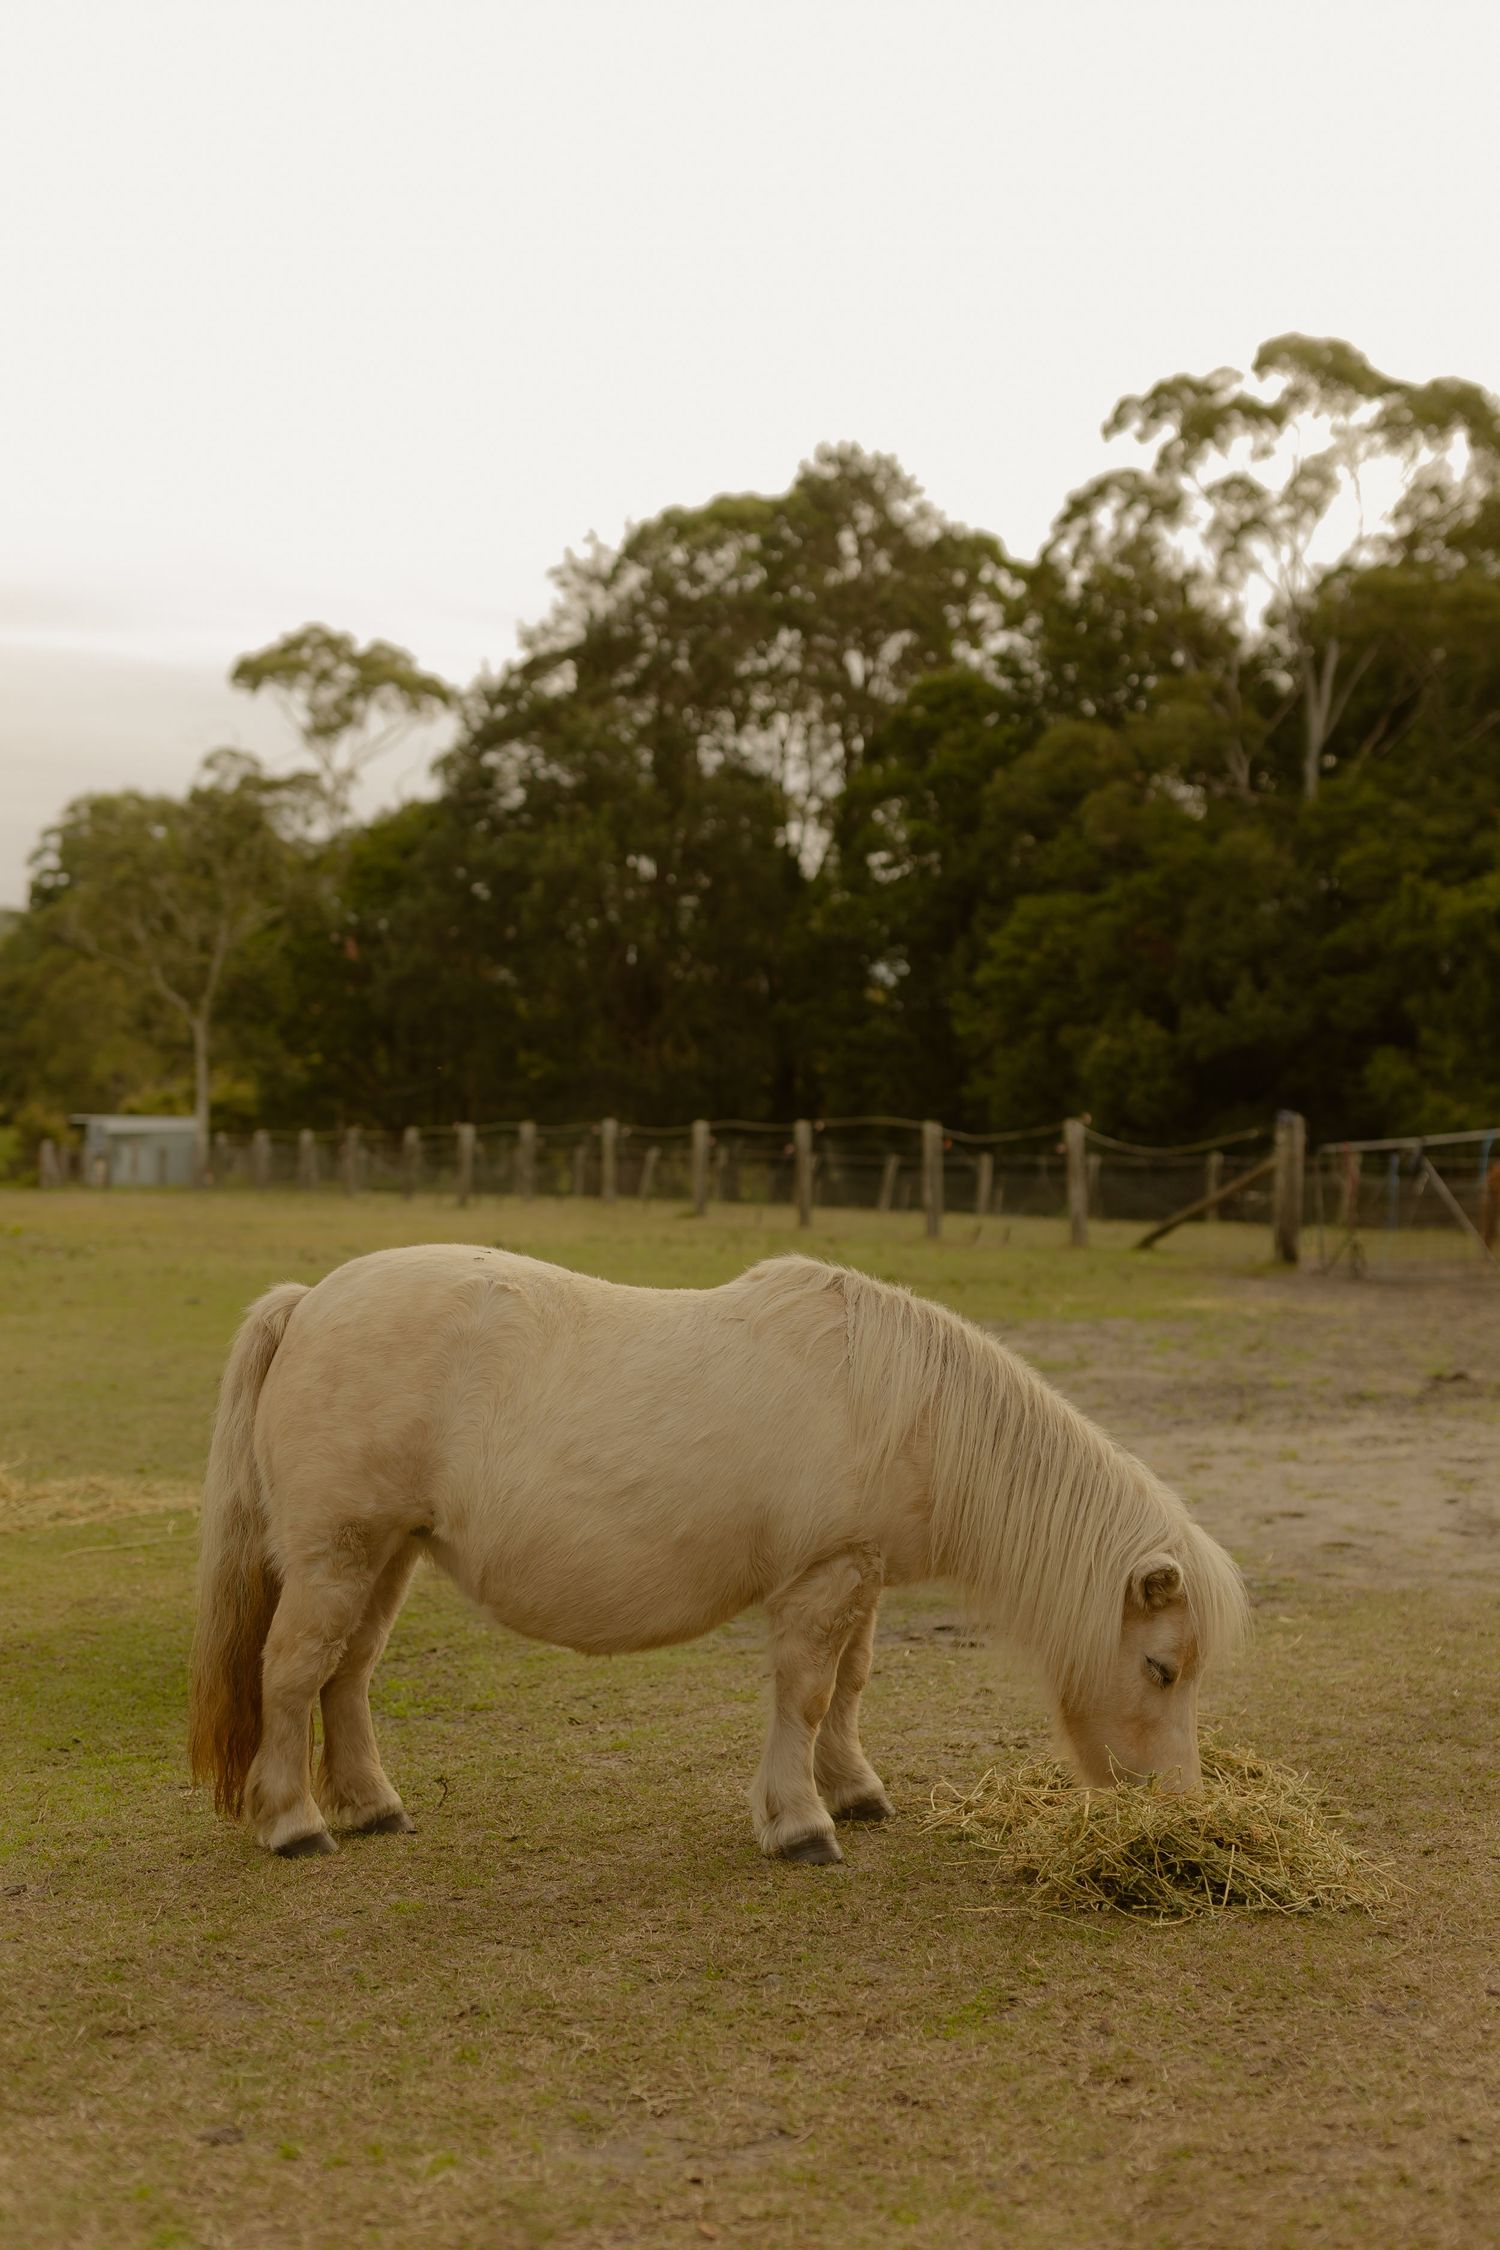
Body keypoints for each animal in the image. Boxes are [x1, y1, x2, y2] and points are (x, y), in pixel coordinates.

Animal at [188, 1247, 1247, 1864]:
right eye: (1161, 1668)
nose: (1181, 1809)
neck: (905, 1405)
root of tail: (308, 1303)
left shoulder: (860, 1574)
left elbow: (849, 1685)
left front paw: (853, 1790)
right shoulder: (823, 1576)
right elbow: (807, 1693)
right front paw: (801, 1824)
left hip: (385, 1557)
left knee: (347, 1675)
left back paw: (372, 1807)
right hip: (338, 1555)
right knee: (294, 1675)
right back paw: (296, 1825)